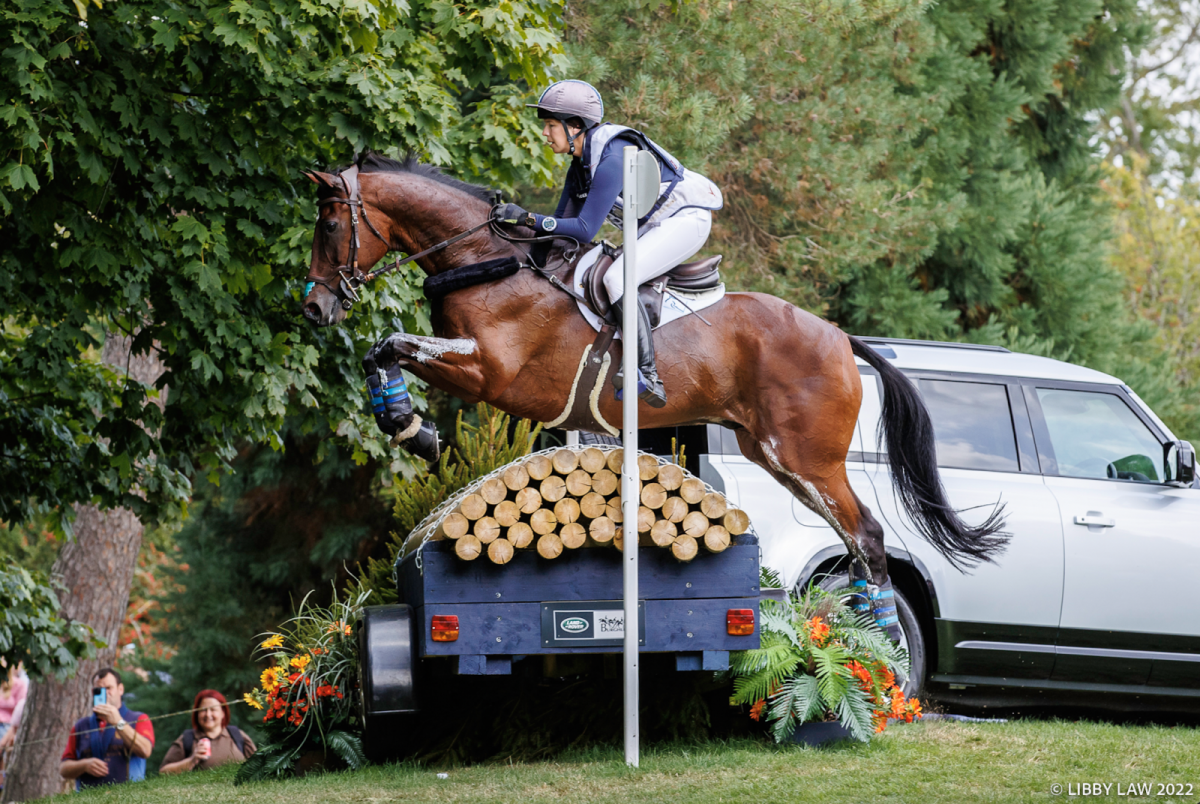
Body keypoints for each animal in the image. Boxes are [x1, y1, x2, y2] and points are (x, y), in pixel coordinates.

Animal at [300, 152, 1007, 632]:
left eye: (329, 226)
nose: (313, 308)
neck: (487, 262)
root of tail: (838, 337)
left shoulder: (490, 372)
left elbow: (390, 344)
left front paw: (410, 427)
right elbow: (382, 348)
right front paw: (408, 424)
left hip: (807, 457)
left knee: (867, 537)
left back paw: (886, 656)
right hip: (774, 455)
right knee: (857, 541)